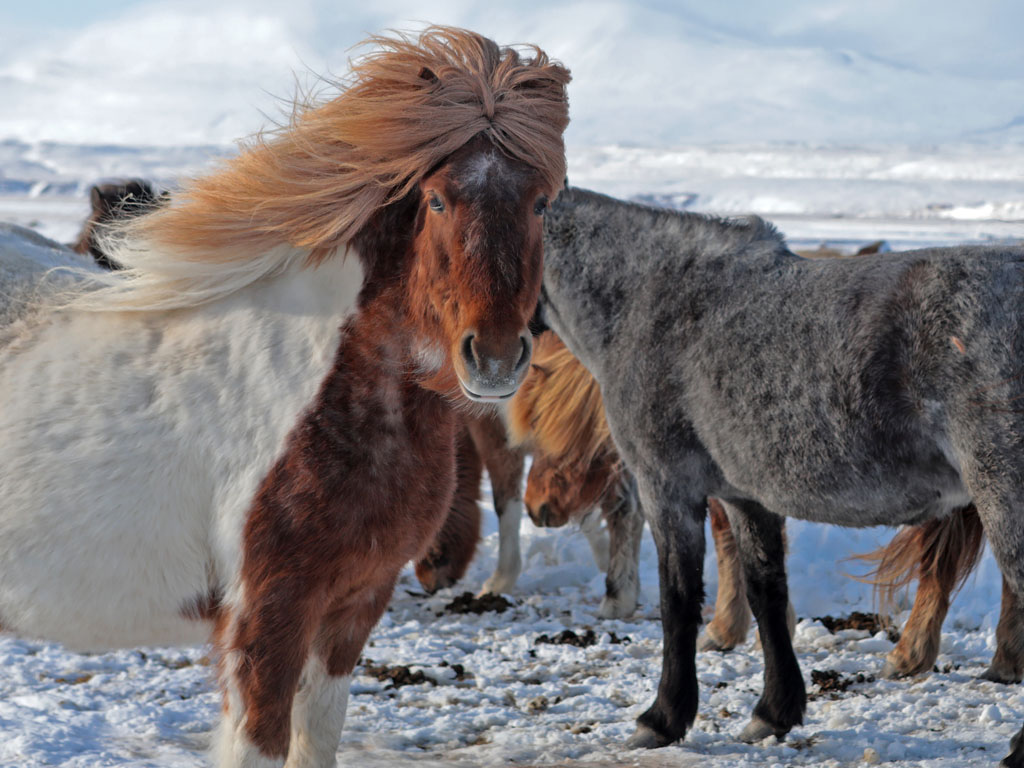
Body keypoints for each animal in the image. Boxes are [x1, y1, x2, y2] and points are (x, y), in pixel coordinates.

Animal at [0, 25, 569, 768]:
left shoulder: (353, 607)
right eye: (439, 199)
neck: (316, 399)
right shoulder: (267, 617)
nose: (496, 357)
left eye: (540, 202)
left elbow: (317, 739)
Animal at [536, 183, 1024, 765]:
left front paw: (662, 718)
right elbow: (765, 592)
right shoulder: (747, 497)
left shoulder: (666, 489)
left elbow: (677, 600)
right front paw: (773, 711)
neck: (652, 298)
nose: (540, 509)